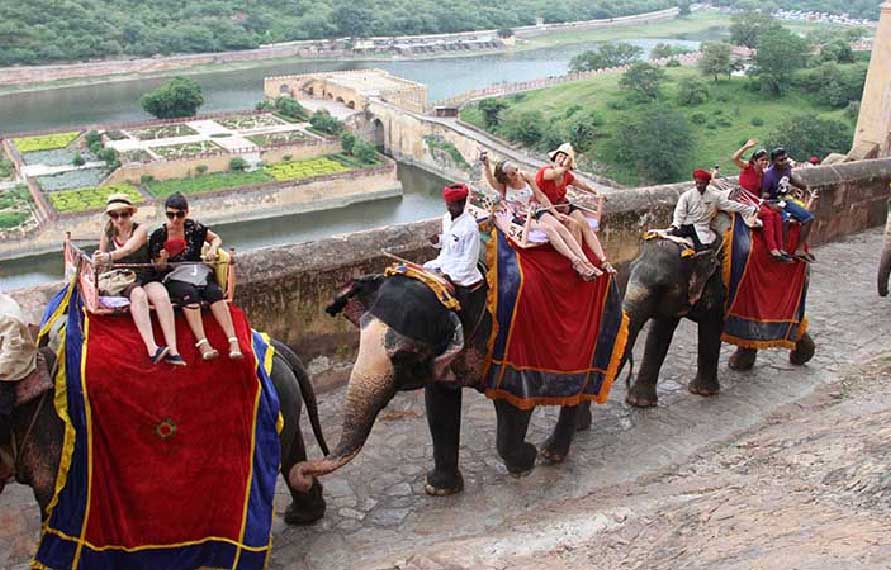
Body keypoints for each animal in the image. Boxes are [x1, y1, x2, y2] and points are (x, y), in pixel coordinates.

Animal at [290, 272, 588, 494]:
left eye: (403, 355)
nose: (302, 476)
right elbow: (439, 404)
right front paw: (439, 488)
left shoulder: (513, 339)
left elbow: (513, 402)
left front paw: (526, 461)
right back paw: (580, 428)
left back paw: (552, 452)